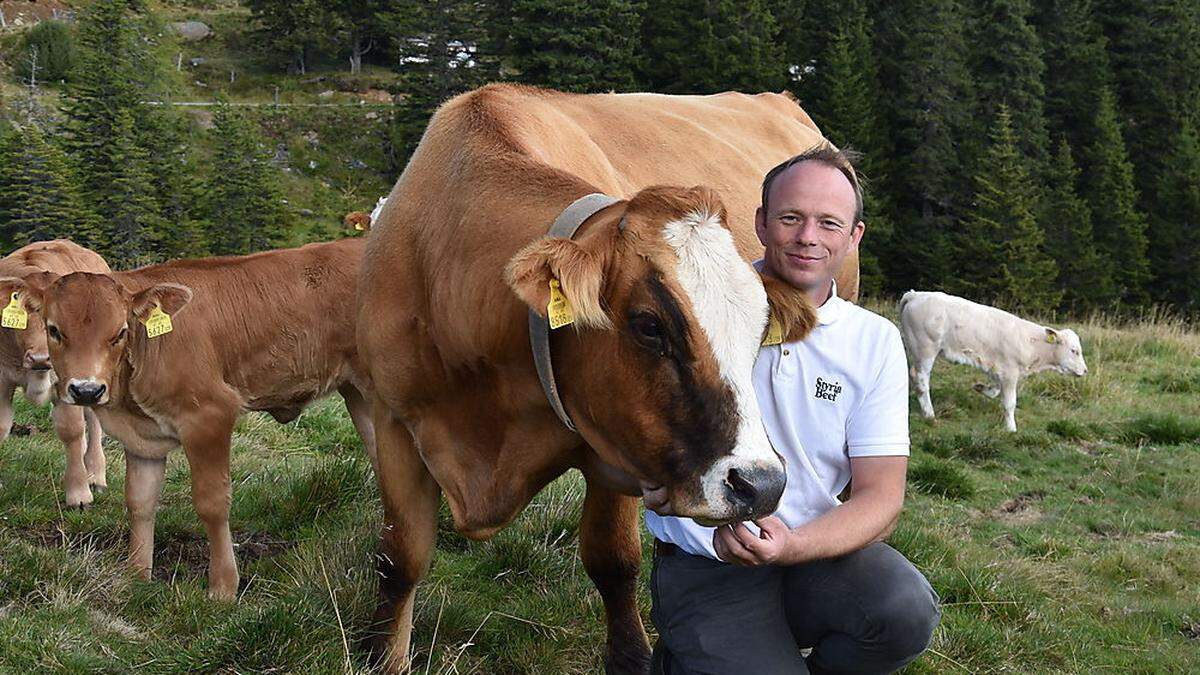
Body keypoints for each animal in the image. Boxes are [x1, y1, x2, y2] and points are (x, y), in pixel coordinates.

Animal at [0, 239, 374, 595]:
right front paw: (137, 575)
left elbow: (212, 503)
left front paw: (223, 587)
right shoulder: (141, 436)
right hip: (360, 395)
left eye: (120, 332)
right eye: (54, 330)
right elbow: (140, 501)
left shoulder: (210, 416)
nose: (87, 390)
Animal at [360, 85, 840, 672]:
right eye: (649, 325)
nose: (761, 485)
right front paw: (383, 653)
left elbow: (613, 561)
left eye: (757, 329)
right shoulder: (391, 418)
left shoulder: (614, 450)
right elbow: (399, 558)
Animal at [902, 290, 1089, 429]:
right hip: (925, 349)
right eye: (1074, 351)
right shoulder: (1010, 372)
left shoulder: (998, 369)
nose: (1085, 370)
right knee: (921, 378)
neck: (1031, 342)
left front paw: (981, 388)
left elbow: (996, 391)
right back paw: (929, 414)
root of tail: (916, 295)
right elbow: (1010, 403)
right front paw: (1011, 429)